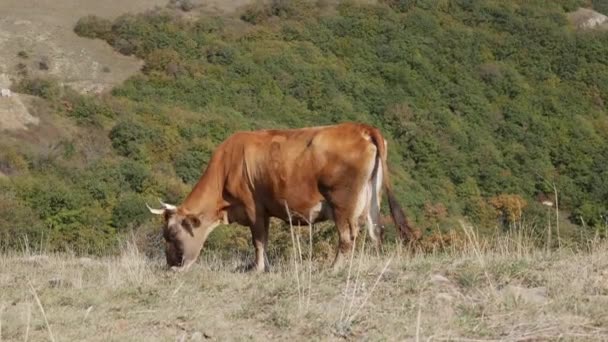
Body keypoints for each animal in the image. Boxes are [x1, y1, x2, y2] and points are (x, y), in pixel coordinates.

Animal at [150, 123, 420, 272]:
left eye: (171, 234)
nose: (171, 264)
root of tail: (362, 127)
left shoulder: (254, 208)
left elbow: (258, 241)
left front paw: (258, 269)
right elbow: (263, 241)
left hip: (343, 203)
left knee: (347, 238)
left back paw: (333, 269)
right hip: (371, 197)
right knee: (376, 231)